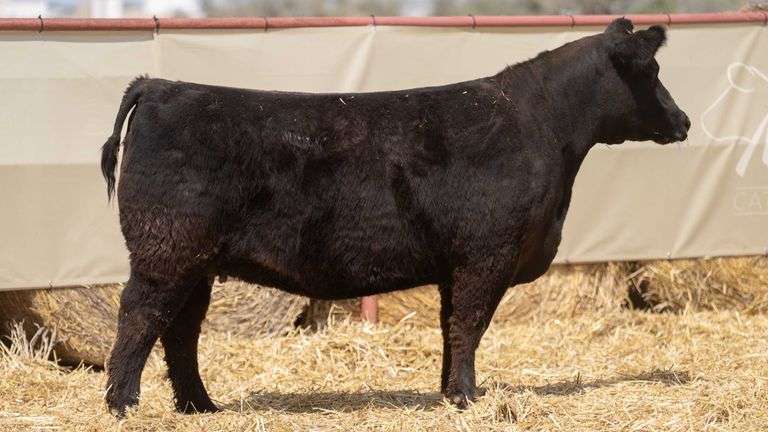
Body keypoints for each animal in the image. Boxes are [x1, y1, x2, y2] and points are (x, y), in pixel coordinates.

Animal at [100, 18, 689, 416]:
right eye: (652, 70)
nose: (684, 120)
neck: (543, 129)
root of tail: (160, 86)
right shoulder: (486, 255)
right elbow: (471, 324)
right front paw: (468, 397)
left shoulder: (458, 263)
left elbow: (452, 328)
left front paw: (452, 392)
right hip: (165, 252)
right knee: (140, 317)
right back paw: (123, 403)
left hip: (195, 262)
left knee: (180, 330)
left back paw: (199, 405)